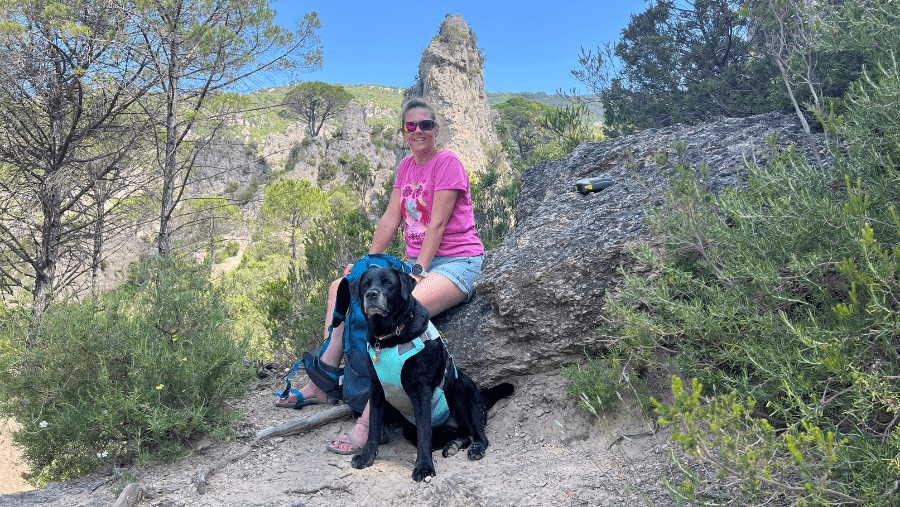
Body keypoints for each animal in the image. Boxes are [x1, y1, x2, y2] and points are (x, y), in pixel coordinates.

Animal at [348, 268, 510, 482]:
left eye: (388, 282)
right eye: (366, 284)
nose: (371, 294)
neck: (390, 338)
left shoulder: (421, 390)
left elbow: (424, 434)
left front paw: (424, 467)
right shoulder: (376, 388)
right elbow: (373, 426)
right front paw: (366, 456)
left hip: (463, 390)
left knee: (479, 434)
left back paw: (475, 448)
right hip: (412, 429)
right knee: (458, 434)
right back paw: (454, 445)